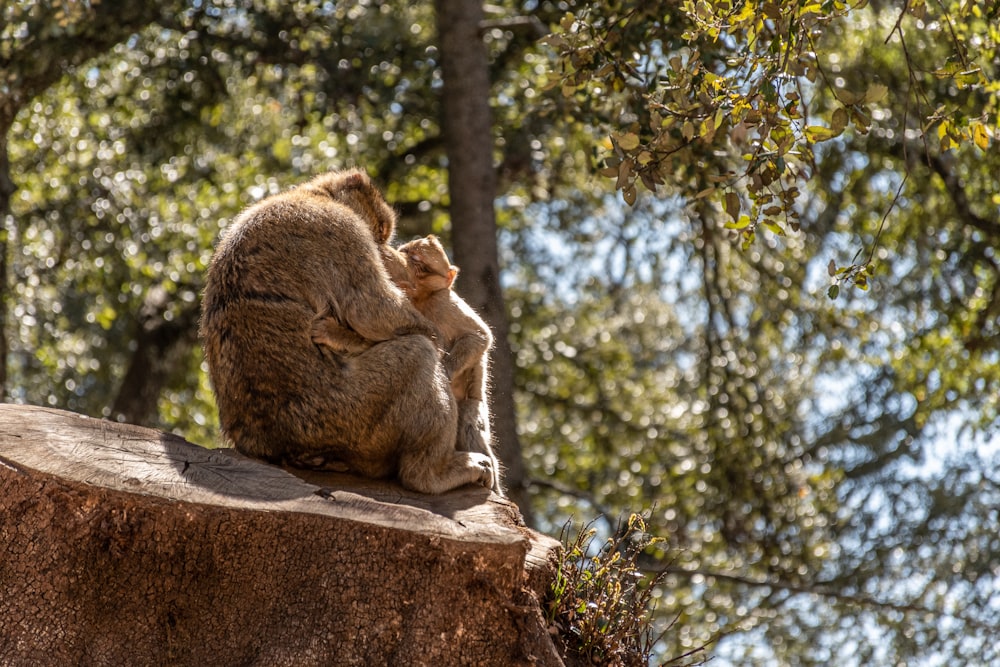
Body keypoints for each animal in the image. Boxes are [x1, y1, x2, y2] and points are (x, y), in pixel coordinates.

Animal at [199, 171, 496, 496]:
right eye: (379, 230)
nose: (384, 250)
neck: (313, 194)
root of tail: (269, 444)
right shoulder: (341, 227)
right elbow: (373, 311)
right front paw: (433, 337)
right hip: (346, 416)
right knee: (417, 355)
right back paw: (430, 474)